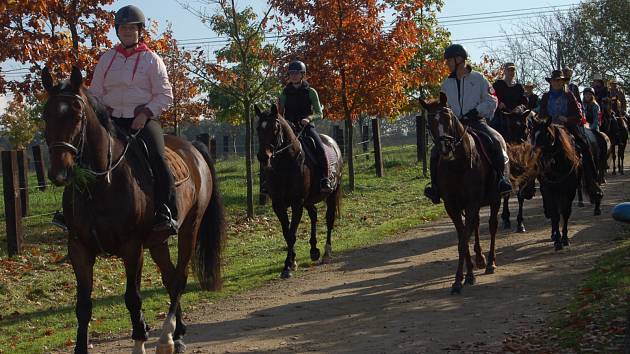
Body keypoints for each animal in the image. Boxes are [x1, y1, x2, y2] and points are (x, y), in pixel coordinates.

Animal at [41, 67, 227, 354]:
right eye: (46, 114)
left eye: (77, 114)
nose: (60, 173)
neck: (102, 183)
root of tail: (193, 149)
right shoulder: (78, 248)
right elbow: (83, 305)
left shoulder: (132, 247)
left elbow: (132, 297)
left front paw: (140, 340)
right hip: (158, 241)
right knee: (170, 278)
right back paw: (179, 332)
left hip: (190, 228)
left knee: (180, 278)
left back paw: (167, 338)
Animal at [532, 119, 580, 252]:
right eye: (533, 135)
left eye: (547, 135)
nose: (534, 155)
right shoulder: (550, 190)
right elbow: (555, 214)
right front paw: (558, 240)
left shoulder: (570, 191)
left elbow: (565, 212)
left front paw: (565, 238)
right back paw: (553, 234)